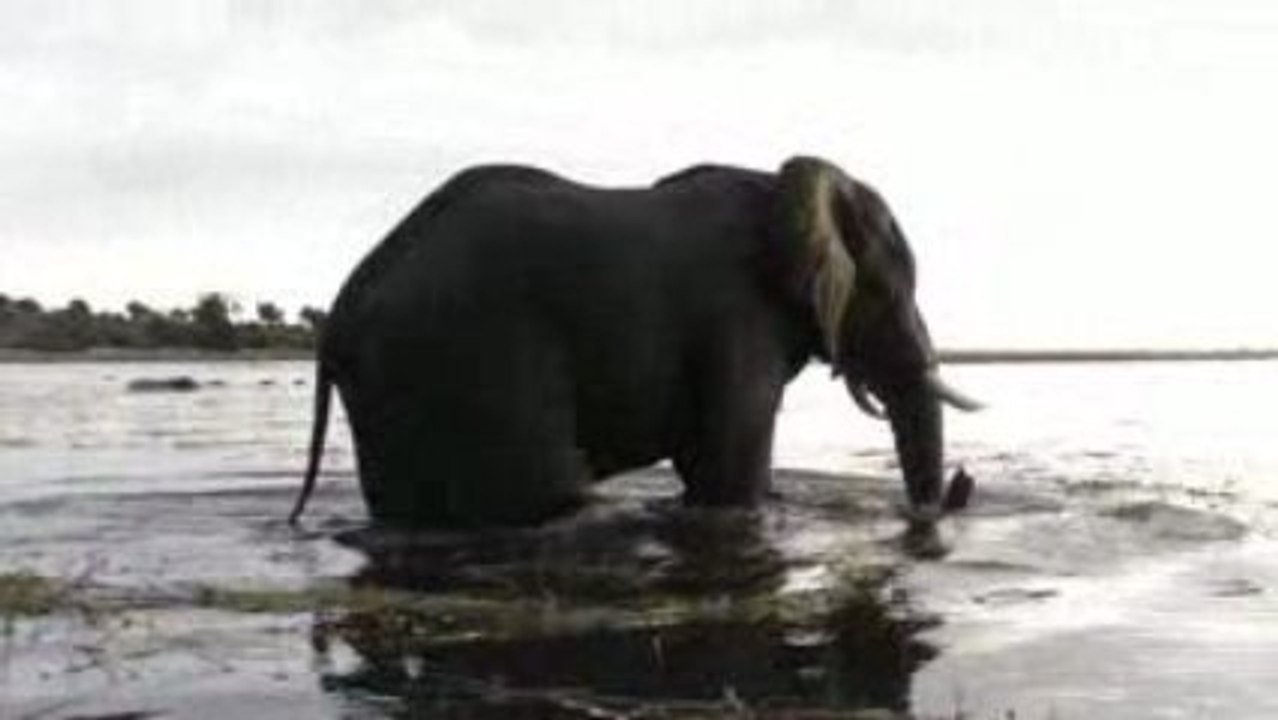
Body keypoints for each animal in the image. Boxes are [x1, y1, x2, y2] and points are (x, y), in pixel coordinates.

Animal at [289, 155, 980, 528]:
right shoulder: (737, 313)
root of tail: (340, 314)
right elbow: (728, 473)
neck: (781, 187)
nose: (958, 488)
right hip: (472, 358)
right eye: (890, 290)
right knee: (551, 493)